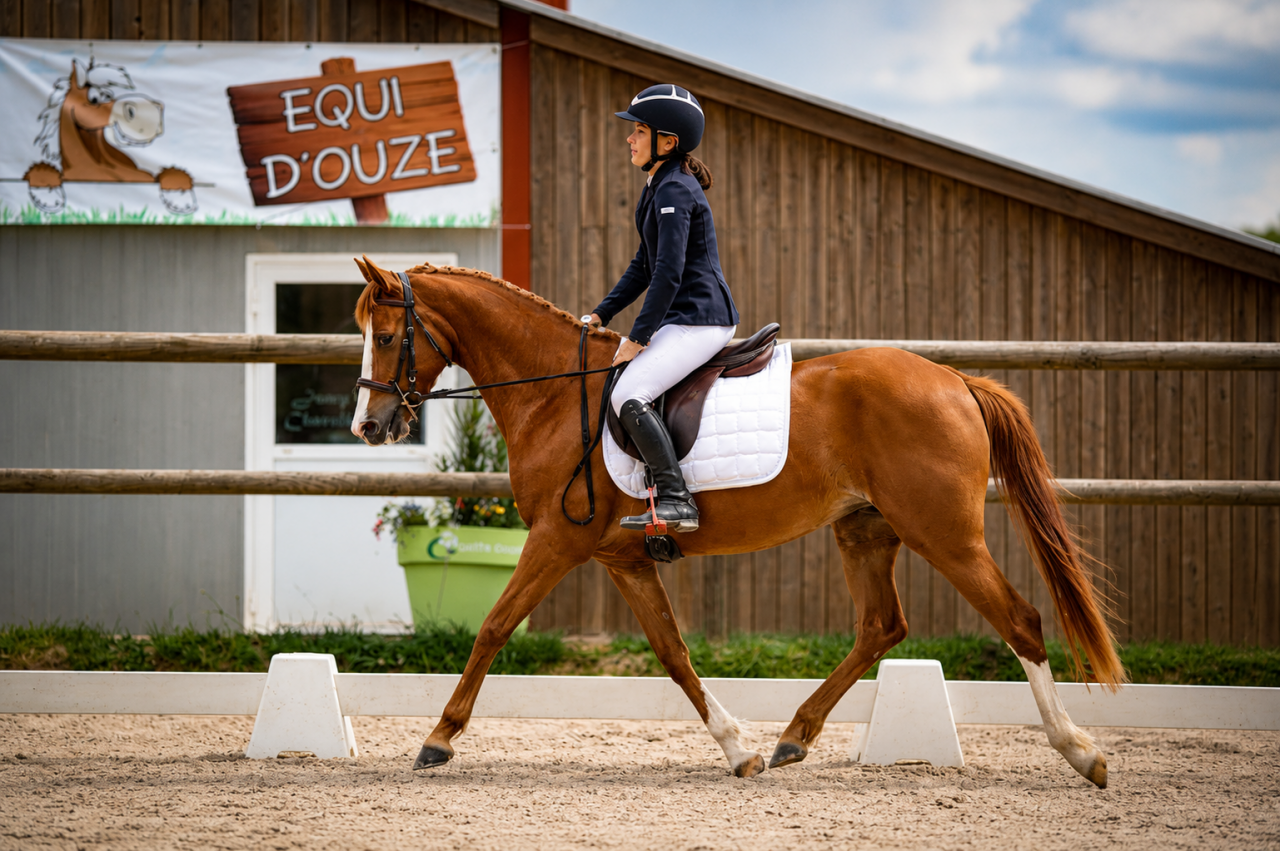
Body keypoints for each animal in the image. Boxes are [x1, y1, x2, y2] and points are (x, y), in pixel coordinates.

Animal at [25, 58, 197, 215]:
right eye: (94, 99)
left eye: (107, 95)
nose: (154, 109)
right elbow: (42, 172)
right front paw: (49, 199)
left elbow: (172, 175)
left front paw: (181, 200)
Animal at [350, 257, 1124, 788]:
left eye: (385, 336)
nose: (368, 426)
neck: (554, 393)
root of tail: (956, 379)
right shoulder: (622, 559)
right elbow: (674, 654)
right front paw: (738, 747)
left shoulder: (555, 541)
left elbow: (492, 628)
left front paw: (438, 738)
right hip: (865, 529)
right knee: (881, 626)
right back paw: (792, 737)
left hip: (945, 534)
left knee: (1019, 619)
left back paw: (1082, 751)